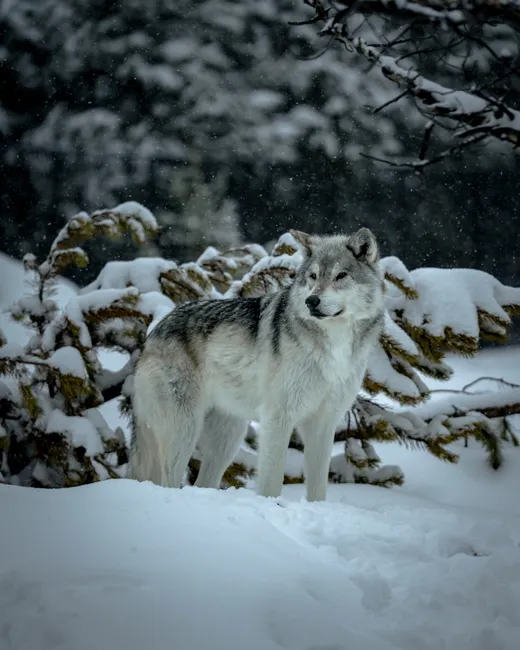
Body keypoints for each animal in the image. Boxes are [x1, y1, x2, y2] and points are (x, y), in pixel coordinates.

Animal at [128, 227, 385, 501]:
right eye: (313, 276)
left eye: (340, 275)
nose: (312, 301)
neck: (334, 344)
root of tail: (153, 332)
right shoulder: (278, 417)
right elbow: (272, 481)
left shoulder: (323, 424)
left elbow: (318, 489)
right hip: (184, 431)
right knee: (169, 482)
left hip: (227, 439)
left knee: (203, 482)